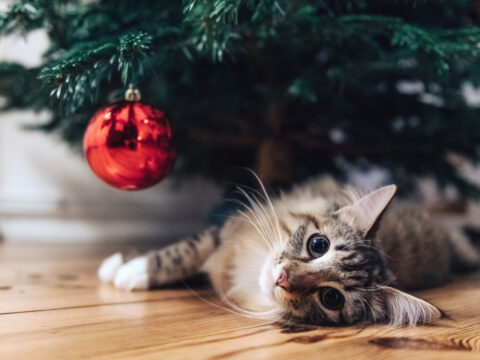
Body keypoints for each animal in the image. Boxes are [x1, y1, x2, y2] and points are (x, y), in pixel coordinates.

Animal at [98, 179, 480, 328]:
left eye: (331, 298)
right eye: (318, 245)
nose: (283, 278)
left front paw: (131, 271)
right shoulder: (225, 230)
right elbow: (185, 250)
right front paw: (126, 266)